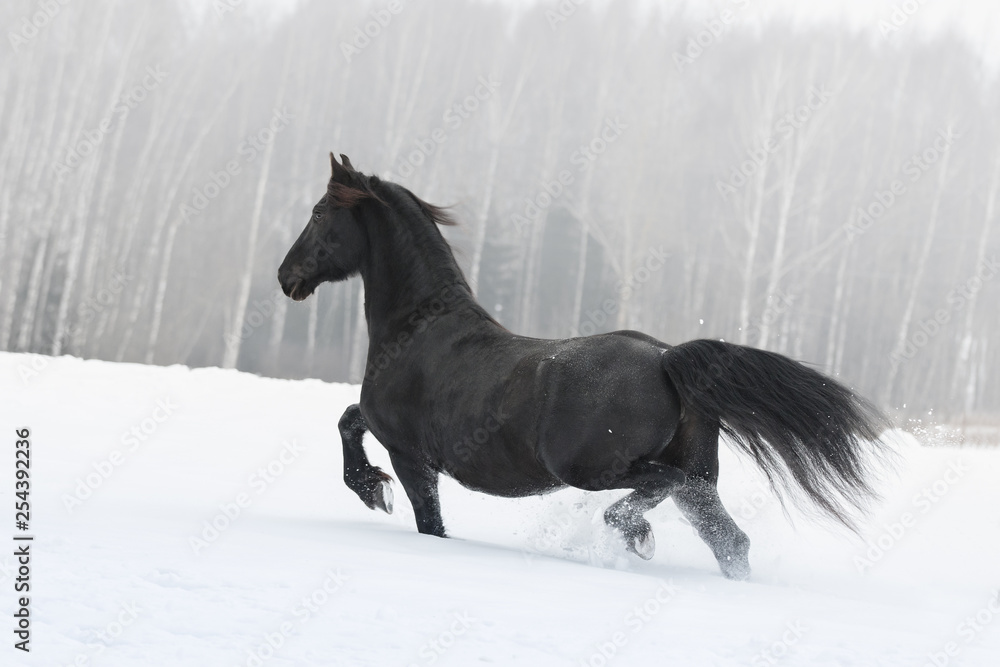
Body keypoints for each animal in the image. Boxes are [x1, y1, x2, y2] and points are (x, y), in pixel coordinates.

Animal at [277, 153, 889, 580]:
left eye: (318, 212)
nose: (287, 277)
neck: (420, 327)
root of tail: (666, 359)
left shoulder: (409, 453)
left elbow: (421, 512)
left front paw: (372, 489)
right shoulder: (391, 433)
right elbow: (348, 417)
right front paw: (371, 487)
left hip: (594, 468)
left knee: (659, 491)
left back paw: (634, 533)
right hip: (698, 479)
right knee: (729, 541)